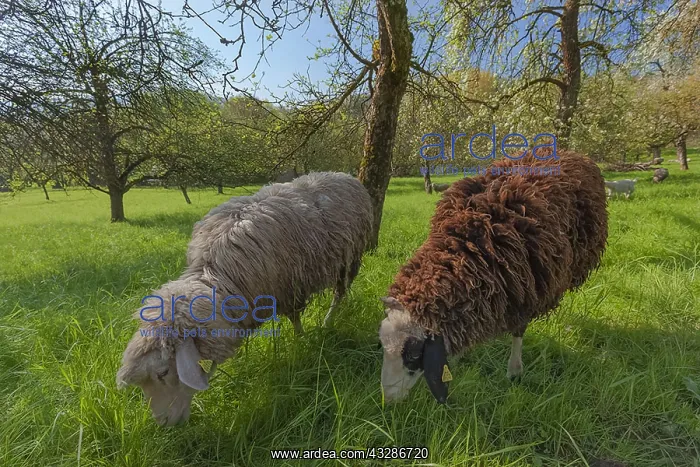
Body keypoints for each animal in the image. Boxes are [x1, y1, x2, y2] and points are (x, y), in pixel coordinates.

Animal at [116, 172, 372, 425]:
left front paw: (302, 341)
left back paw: (329, 320)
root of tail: (343, 175)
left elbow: (296, 319)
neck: (218, 277)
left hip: (349, 257)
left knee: (340, 292)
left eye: (163, 373)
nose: (163, 423)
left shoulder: (290, 289)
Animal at [378, 151, 608, 403]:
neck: (469, 247)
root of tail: (569, 152)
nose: (388, 399)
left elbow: (518, 331)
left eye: (413, 354)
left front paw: (514, 372)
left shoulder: (525, 293)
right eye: (382, 346)